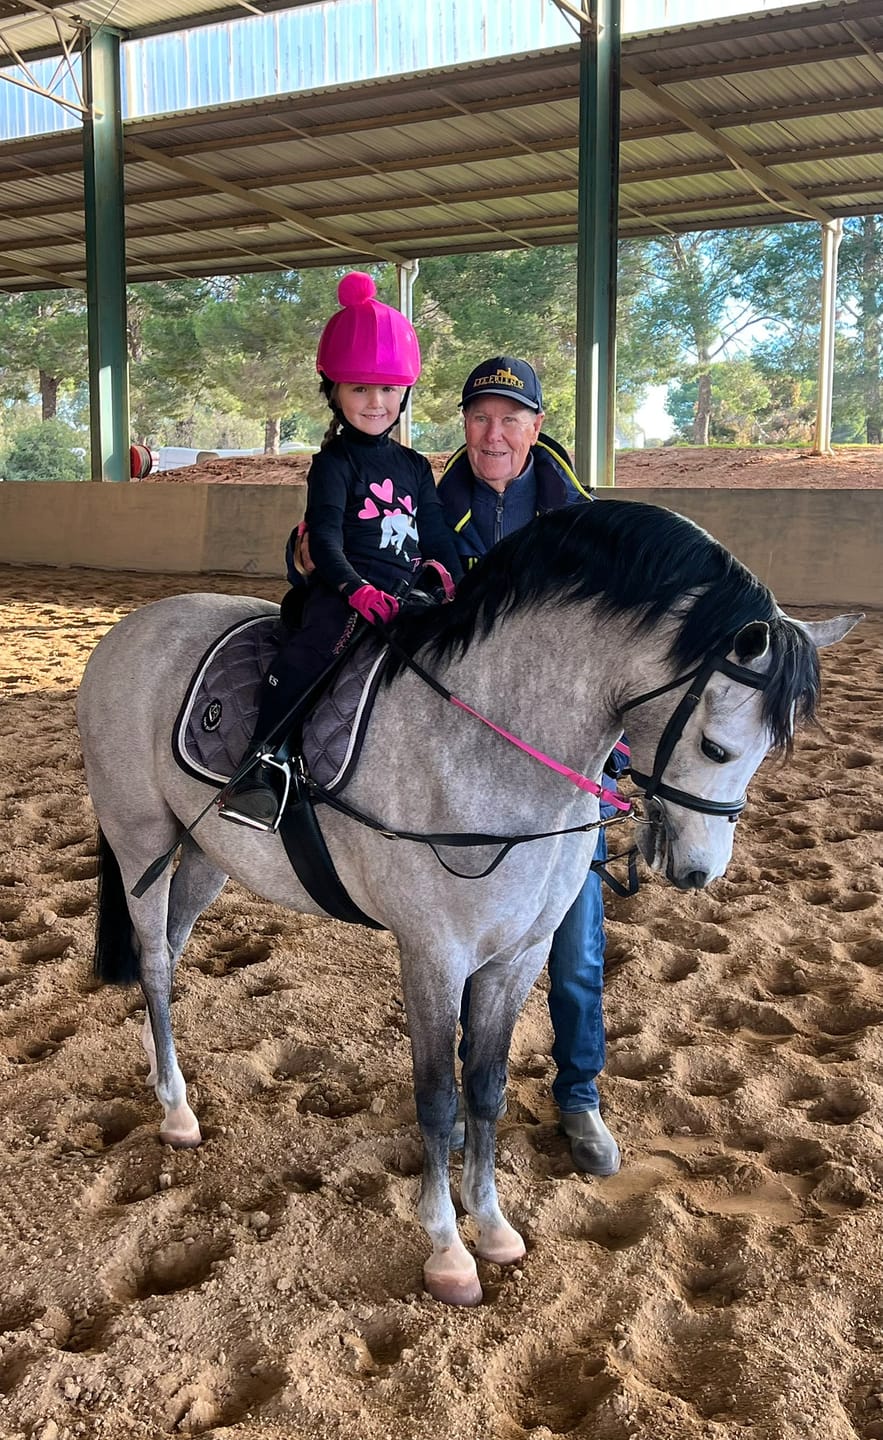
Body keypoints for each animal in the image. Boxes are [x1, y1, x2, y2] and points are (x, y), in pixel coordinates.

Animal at [76, 499, 860, 1306]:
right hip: (141, 839)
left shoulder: (517, 958)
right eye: (713, 747)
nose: (699, 869)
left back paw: (158, 1065)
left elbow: (484, 1089)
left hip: (206, 853)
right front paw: (448, 1250)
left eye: (766, 748)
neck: (486, 745)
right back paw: (176, 1109)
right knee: (155, 961)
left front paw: (493, 1227)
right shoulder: (433, 955)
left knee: (167, 954)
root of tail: (129, 631)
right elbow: (436, 1097)